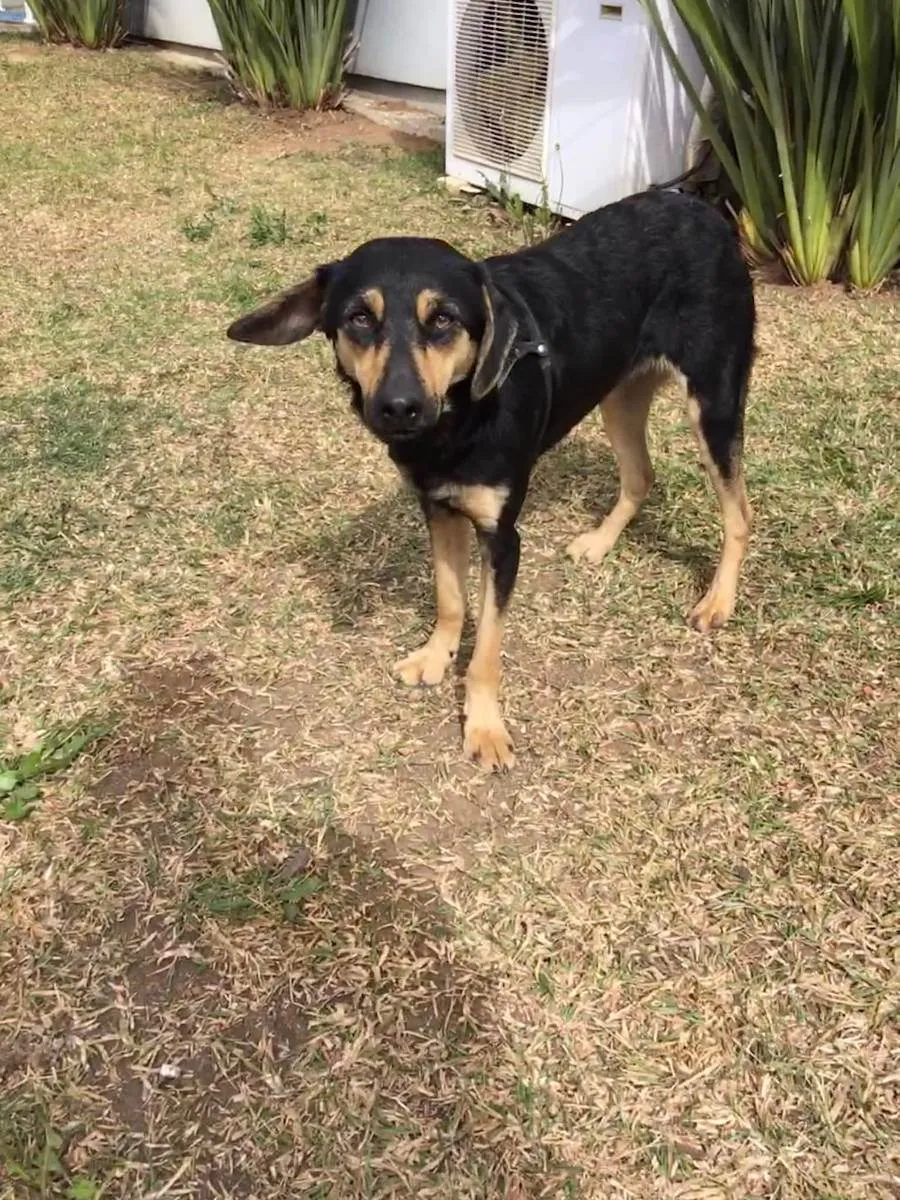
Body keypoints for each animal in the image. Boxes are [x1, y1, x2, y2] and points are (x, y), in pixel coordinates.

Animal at [227, 189, 755, 771]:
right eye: (360, 318)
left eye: (443, 320)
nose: (399, 408)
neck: (459, 421)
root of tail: (697, 207)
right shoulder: (438, 508)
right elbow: (449, 598)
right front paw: (436, 656)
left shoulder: (502, 538)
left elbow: (486, 650)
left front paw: (483, 727)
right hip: (617, 393)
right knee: (641, 475)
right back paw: (600, 542)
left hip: (713, 403)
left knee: (739, 513)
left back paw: (718, 601)